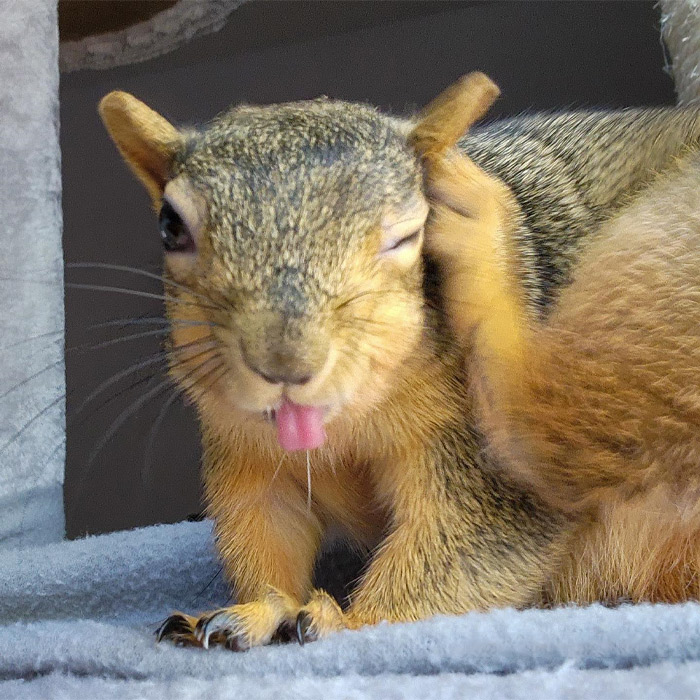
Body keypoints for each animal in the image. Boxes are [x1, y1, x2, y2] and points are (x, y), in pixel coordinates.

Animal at [100, 74, 700, 648]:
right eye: (170, 226)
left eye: (411, 233)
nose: (284, 365)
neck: (345, 426)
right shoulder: (244, 447)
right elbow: (264, 529)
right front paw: (258, 609)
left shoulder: (466, 451)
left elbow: (473, 545)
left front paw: (348, 622)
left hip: (660, 286)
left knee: (556, 443)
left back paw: (486, 238)